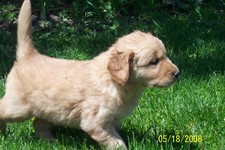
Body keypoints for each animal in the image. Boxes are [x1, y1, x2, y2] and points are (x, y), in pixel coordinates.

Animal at [0, 0, 179, 149]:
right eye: (154, 61)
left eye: (165, 56)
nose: (177, 73)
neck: (115, 82)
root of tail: (29, 56)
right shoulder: (96, 121)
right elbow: (116, 142)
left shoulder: (114, 119)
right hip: (19, 106)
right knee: (3, 110)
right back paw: (4, 134)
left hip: (49, 108)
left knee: (39, 124)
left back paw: (52, 142)